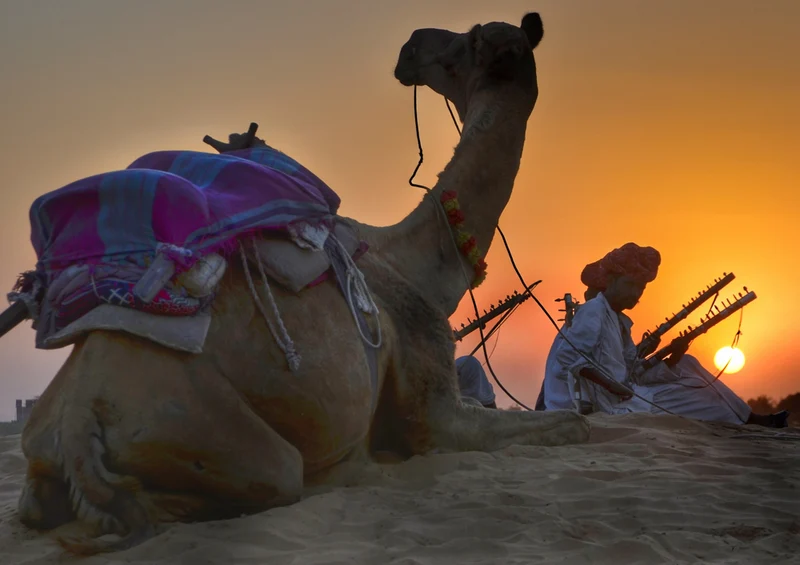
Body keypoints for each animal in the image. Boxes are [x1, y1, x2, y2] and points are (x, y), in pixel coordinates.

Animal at [16, 11, 590, 555]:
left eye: (466, 39)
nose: (411, 45)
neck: (417, 263)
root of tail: (76, 418)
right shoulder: (435, 410)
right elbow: (573, 424)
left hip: (43, 446)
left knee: (37, 509)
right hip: (212, 431)